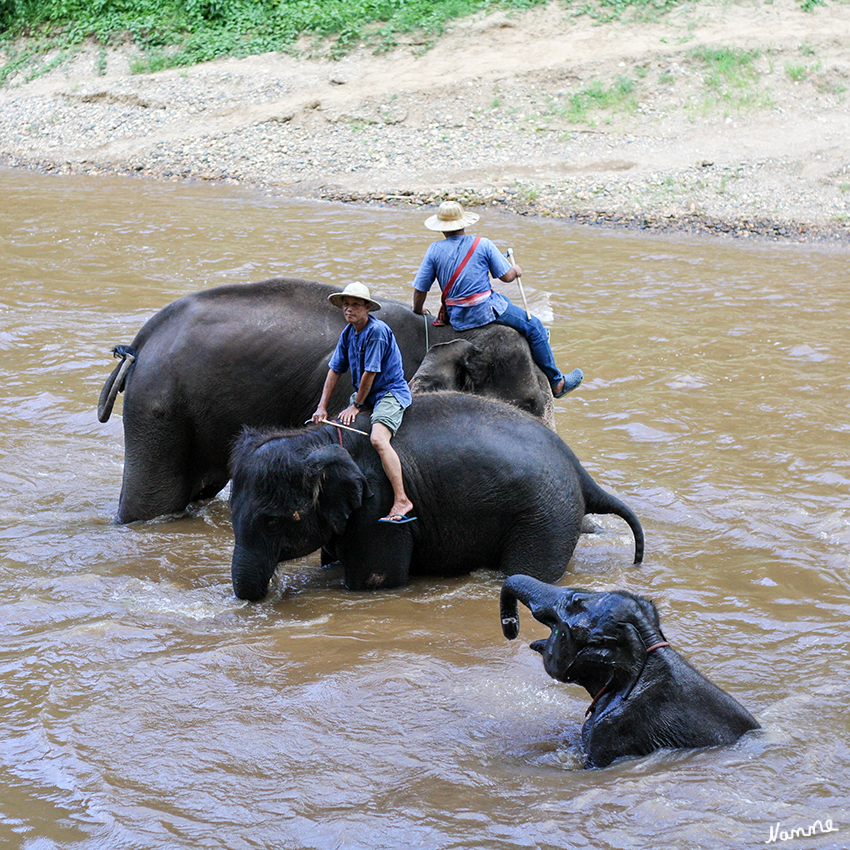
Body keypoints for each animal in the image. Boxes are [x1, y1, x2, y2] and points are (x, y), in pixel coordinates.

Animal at [229, 392, 640, 604]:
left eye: (271, 521)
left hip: (546, 518)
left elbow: (375, 580)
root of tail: (580, 472)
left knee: (528, 571)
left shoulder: (378, 509)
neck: (319, 441)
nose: (269, 593)